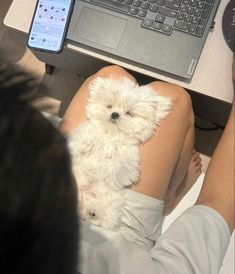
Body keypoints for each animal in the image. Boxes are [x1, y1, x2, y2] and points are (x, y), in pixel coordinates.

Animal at [68, 77, 173, 229]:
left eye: (129, 113)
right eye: (109, 106)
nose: (115, 114)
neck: (111, 135)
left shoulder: (129, 154)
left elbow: (122, 167)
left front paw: (111, 169)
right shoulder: (87, 134)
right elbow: (80, 143)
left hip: (111, 203)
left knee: (104, 216)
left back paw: (92, 212)